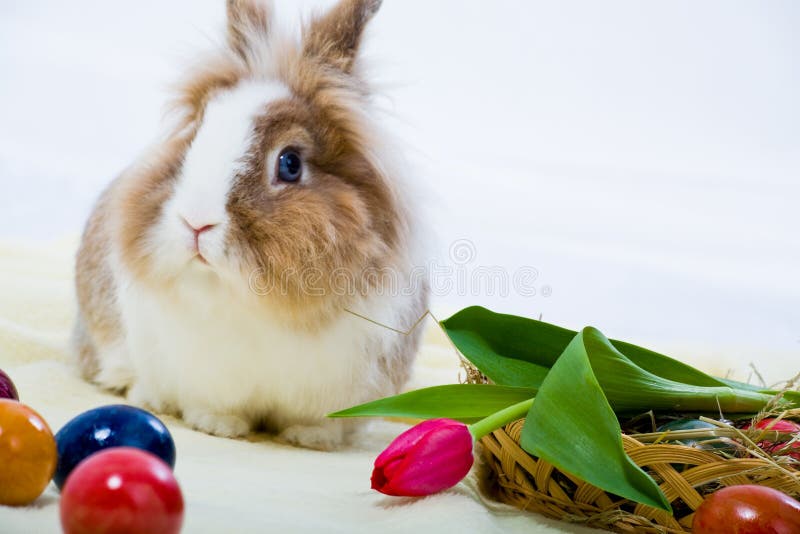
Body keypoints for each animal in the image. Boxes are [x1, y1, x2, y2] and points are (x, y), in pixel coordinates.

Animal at [72, 0, 429, 450]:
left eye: (290, 163)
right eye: (194, 137)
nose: (196, 223)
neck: (257, 304)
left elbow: (321, 422)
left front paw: (310, 440)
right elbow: (210, 405)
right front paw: (218, 426)